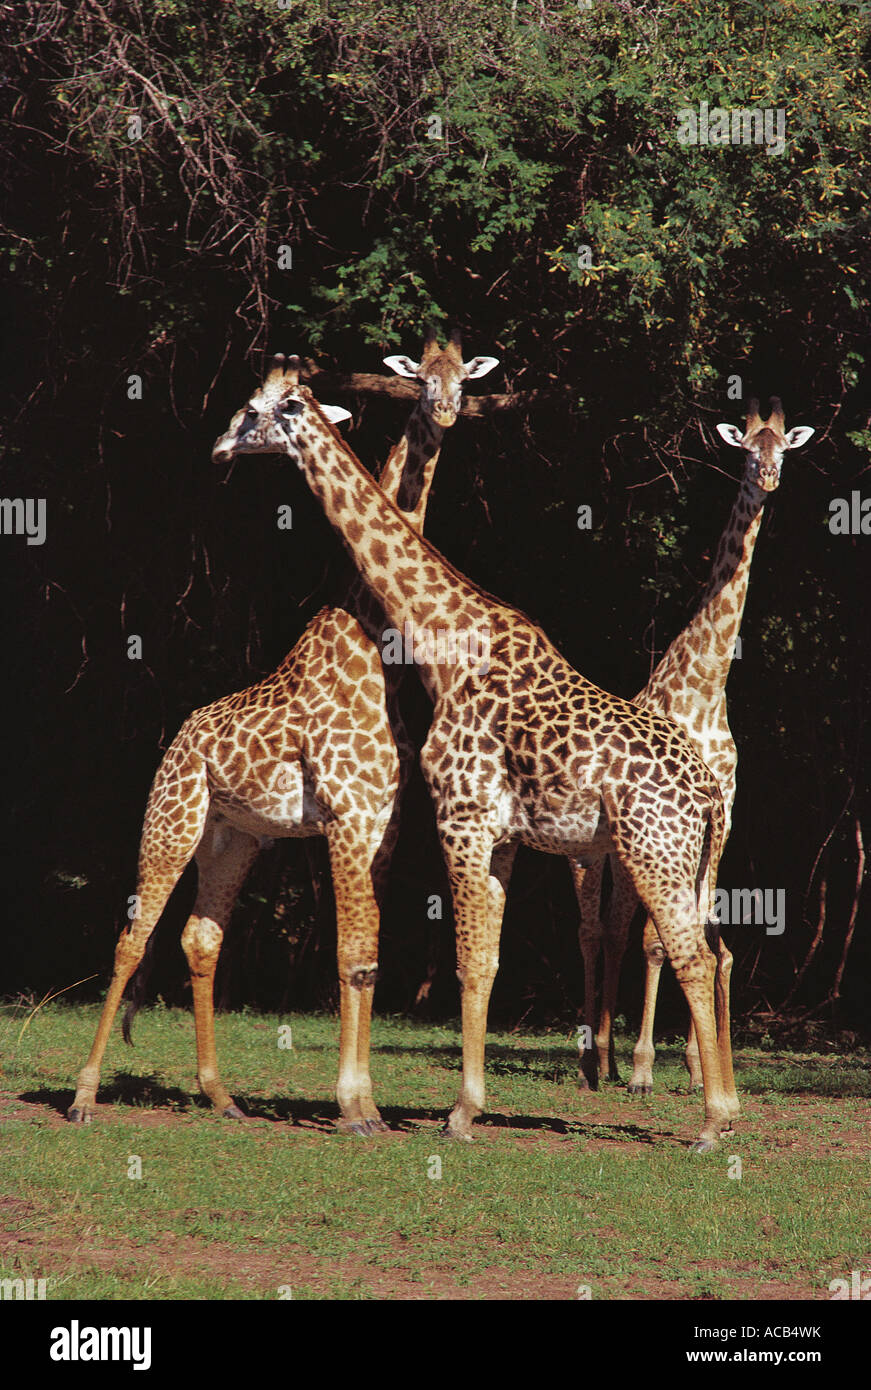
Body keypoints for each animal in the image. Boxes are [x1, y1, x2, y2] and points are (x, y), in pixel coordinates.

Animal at [67, 332, 498, 1133]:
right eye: (421, 379)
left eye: (465, 377)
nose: (216, 448)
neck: (369, 637)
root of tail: (177, 738)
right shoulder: (346, 819)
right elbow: (351, 956)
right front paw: (354, 1109)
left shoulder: (381, 824)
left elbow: (366, 958)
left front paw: (362, 1105)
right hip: (172, 817)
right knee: (131, 937)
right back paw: (82, 1097)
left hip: (234, 834)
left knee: (200, 935)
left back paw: (220, 1096)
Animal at [212, 353, 740, 1152]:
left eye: (251, 410)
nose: (217, 449)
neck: (444, 640)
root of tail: (707, 794)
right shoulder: (502, 836)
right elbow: (486, 961)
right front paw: (469, 1104)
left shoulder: (458, 817)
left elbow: (464, 961)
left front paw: (459, 1114)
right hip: (691, 859)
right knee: (709, 950)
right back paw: (724, 1108)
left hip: (656, 850)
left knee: (690, 954)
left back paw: (709, 1124)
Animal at [573, 398, 814, 1093]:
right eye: (748, 450)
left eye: (785, 448)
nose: (768, 478)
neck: (706, 687)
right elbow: (657, 940)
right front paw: (643, 1068)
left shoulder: (722, 812)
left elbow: (703, 933)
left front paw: (696, 1064)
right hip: (598, 850)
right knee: (599, 928)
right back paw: (594, 1057)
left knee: (622, 926)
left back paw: (607, 1055)